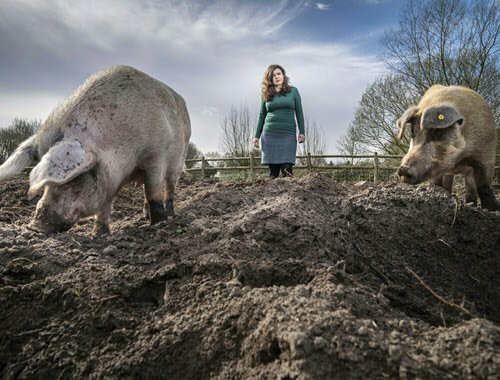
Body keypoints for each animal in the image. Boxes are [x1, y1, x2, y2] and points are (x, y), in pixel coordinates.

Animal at [0, 65, 191, 233]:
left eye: (77, 177)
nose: (35, 227)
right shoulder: (108, 177)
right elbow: (105, 205)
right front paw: (99, 234)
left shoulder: (157, 153)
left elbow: (153, 192)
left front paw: (159, 224)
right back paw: (144, 215)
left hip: (179, 159)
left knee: (169, 186)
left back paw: (170, 213)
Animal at [396, 83, 498, 212]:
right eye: (412, 132)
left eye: (436, 132)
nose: (403, 169)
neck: (460, 158)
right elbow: (437, 183)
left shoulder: (486, 154)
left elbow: (484, 186)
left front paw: (493, 210)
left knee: (471, 187)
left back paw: (471, 204)